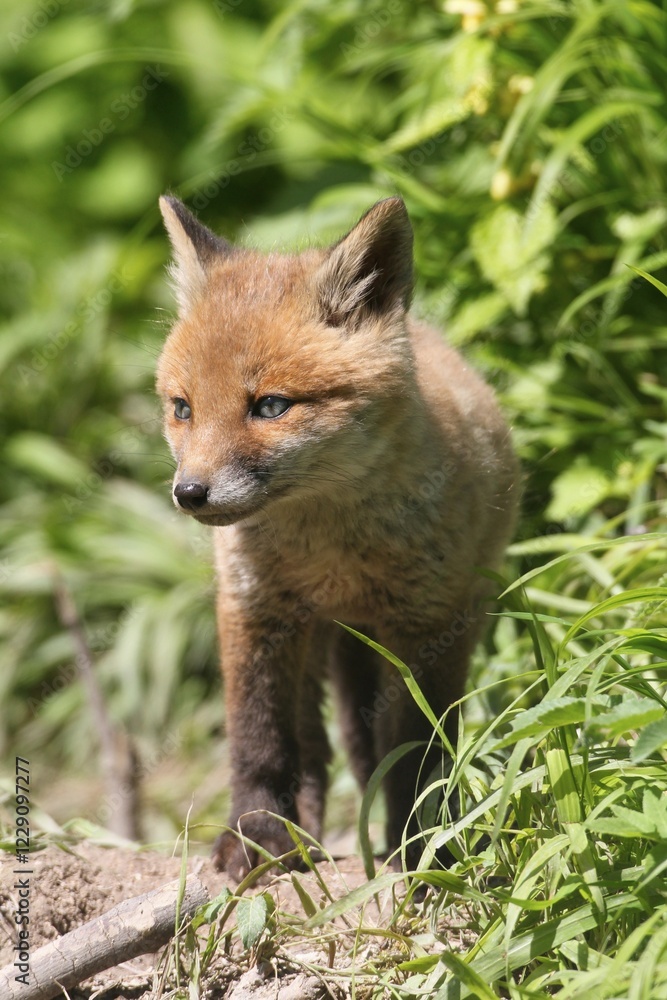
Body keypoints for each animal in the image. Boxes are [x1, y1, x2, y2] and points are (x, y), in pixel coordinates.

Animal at [156, 194, 518, 880]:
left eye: (271, 406)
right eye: (183, 408)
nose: (189, 493)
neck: (328, 554)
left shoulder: (428, 624)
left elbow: (416, 753)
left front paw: (421, 848)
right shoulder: (254, 611)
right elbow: (259, 742)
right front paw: (254, 840)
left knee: (365, 746)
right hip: (314, 643)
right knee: (314, 748)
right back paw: (305, 835)